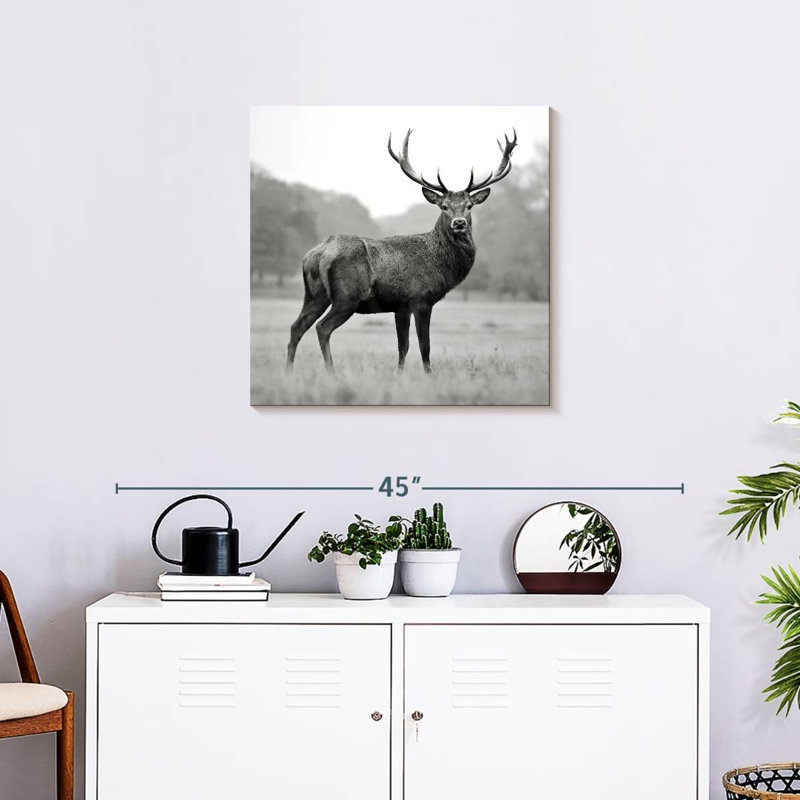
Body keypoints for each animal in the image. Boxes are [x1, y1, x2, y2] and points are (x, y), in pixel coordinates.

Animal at [286, 128, 517, 374]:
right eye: (444, 206)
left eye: (469, 206)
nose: (459, 223)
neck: (440, 264)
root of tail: (319, 253)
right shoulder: (421, 298)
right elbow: (424, 346)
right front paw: (429, 375)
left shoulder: (401, 306)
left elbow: (403, 346)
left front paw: (399, 374)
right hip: (348, 296)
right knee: (322, 328)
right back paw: (332, 373)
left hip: (314, 294)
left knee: (296, 327)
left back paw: (288, 372)